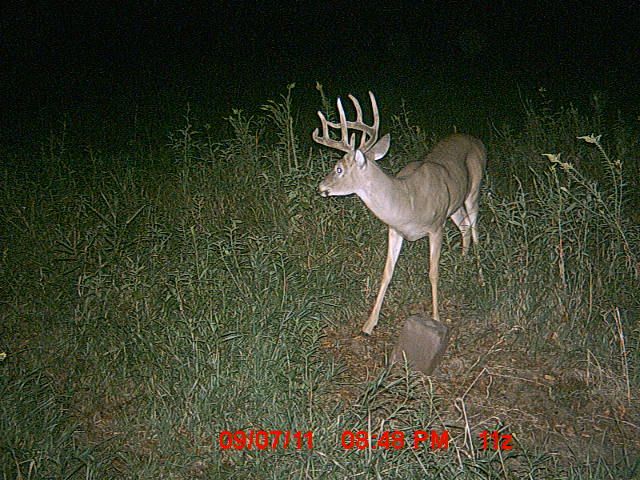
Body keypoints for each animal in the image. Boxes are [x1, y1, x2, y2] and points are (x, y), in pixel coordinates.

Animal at [313, 92, 486, 335]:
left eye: (339, 169)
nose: (321, 187)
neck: (407, 203)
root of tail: (477, 140)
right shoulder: (394, 230)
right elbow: (387, 272)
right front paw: (369, 324)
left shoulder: (436, 226)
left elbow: (433, 272)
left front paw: (436, 317)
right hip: (454, 204)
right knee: (464, 226)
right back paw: (461, 264)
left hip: (474, 189)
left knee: (475, 228)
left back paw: (480, 277)